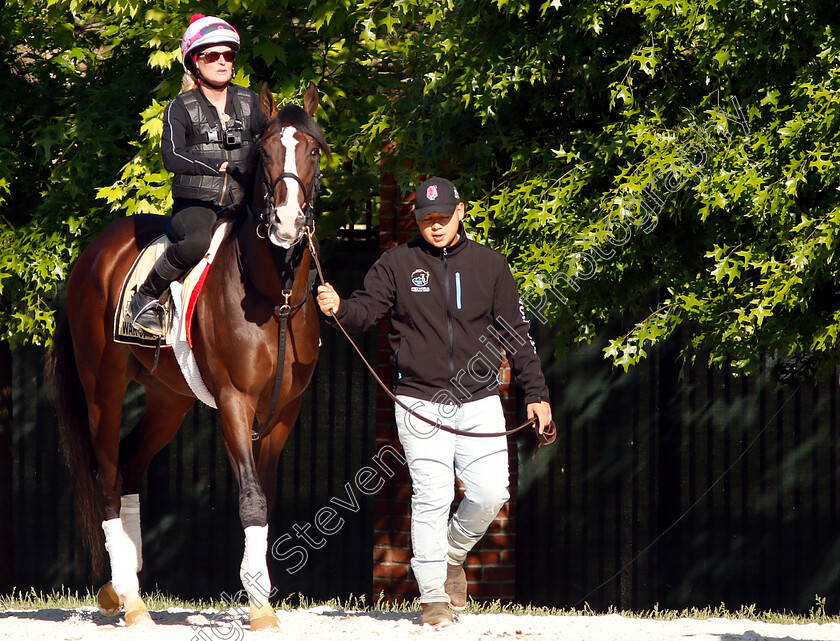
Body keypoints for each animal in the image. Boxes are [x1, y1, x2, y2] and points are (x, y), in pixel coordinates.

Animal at [45, 82, 328, 628]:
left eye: (314, 150)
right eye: (264, 152)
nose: (286, 223)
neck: (275, 295)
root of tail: (92, 256)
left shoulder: (286, 410)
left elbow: (266, 496)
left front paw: (261, 595)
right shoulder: (236, 403)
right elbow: (251, 498)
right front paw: (259, 605)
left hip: (168, 401)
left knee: (130, 466)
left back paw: (123, 589)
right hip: (103, 390)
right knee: (107, 475)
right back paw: (130, 600)